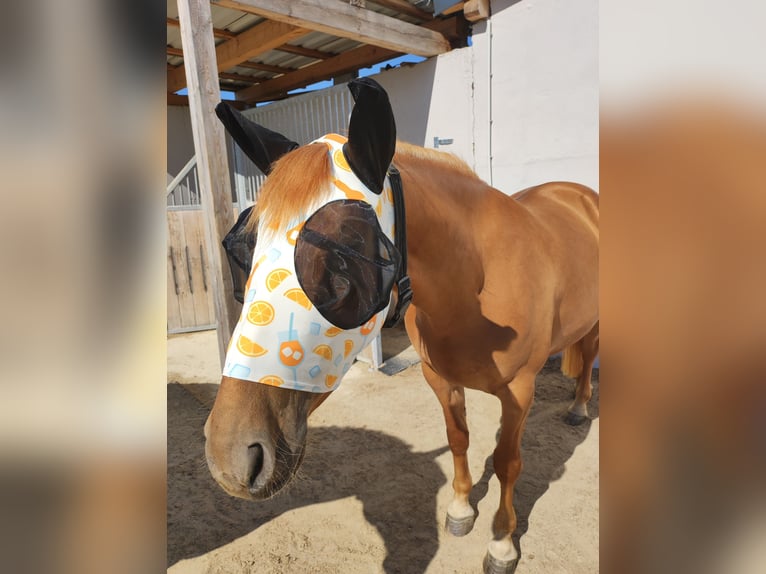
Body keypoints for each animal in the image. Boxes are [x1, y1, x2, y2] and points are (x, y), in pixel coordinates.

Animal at [204, 78, 599, 574]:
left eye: (345, 260)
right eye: (246, 251)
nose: (231, 457)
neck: (476, 284)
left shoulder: (520, 391)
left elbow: (508, 462)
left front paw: (502, 543)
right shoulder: (439, 378)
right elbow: (458, 439)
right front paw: (460, 510)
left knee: (589, 355)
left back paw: (581, 405)